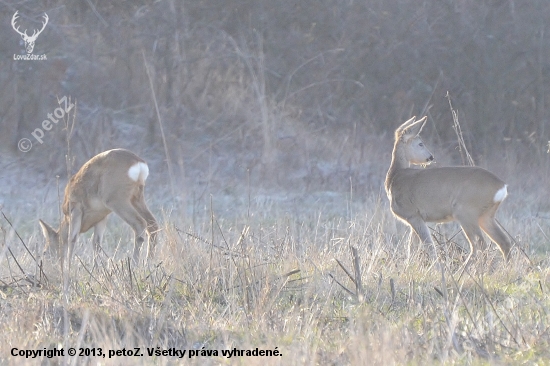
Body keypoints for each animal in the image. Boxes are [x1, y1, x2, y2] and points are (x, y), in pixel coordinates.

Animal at [386, 117, 516, 264]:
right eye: (420, 144)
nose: (431, 157)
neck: (395, 177)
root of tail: (502, 186)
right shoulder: (420, 218)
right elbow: (412, 247)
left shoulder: (413, 214)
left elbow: (428, 245)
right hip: (486, 215)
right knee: (503, 241)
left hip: (465, 211)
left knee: (478, 244)